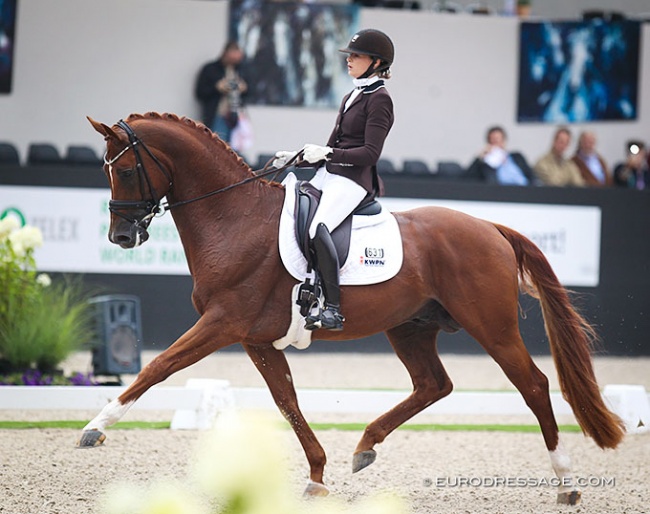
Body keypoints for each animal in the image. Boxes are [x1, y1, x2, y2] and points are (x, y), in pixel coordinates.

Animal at [82, 111, 624, 500]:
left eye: (126, 170)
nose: (121, 237)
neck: (234, 217)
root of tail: (491, 227)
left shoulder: (222, 323)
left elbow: (157, 367)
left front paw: (94, 429)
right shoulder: (256, 339)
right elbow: (287, 400)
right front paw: (317, 475)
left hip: (492, 327)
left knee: (532, 385)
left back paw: (567, 484)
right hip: (410, 327)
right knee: (434, 385)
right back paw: (365, 448)